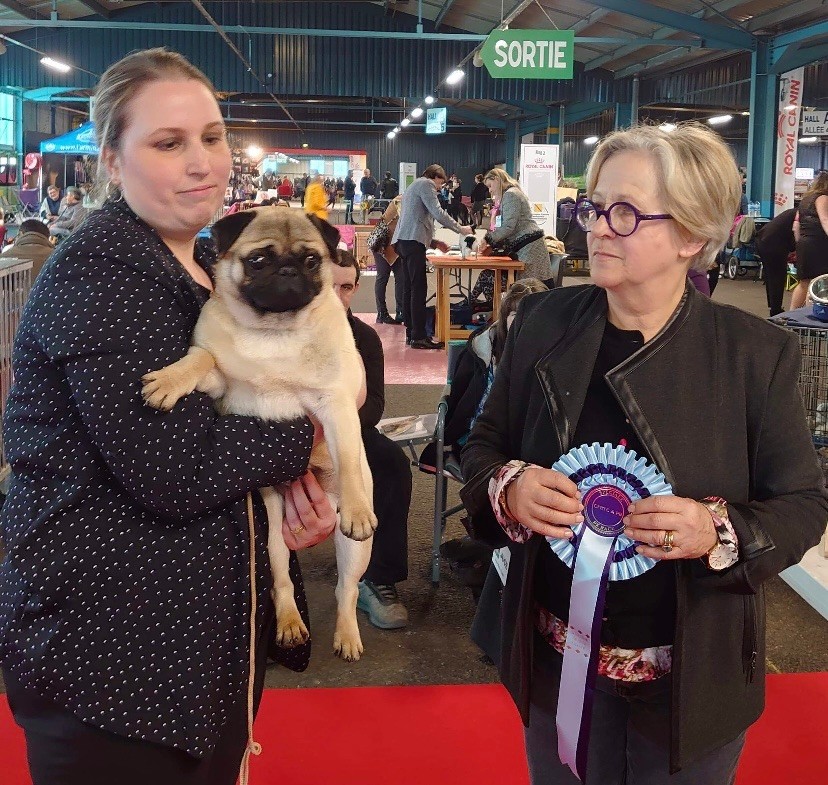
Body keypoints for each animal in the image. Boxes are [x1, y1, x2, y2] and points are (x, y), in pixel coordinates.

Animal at [142, 205, 376, 660]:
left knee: (347, 589)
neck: (274, 333)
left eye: (311, 260)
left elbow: (348, 456)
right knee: (281, 581)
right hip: (272, 532)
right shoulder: (220, 383)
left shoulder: (336, 404)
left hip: (356, 551)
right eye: (258, 260)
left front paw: (357, 509)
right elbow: (200, 359)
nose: (287, 271)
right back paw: (289, 624)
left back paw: (347, 634)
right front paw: (169, 380)